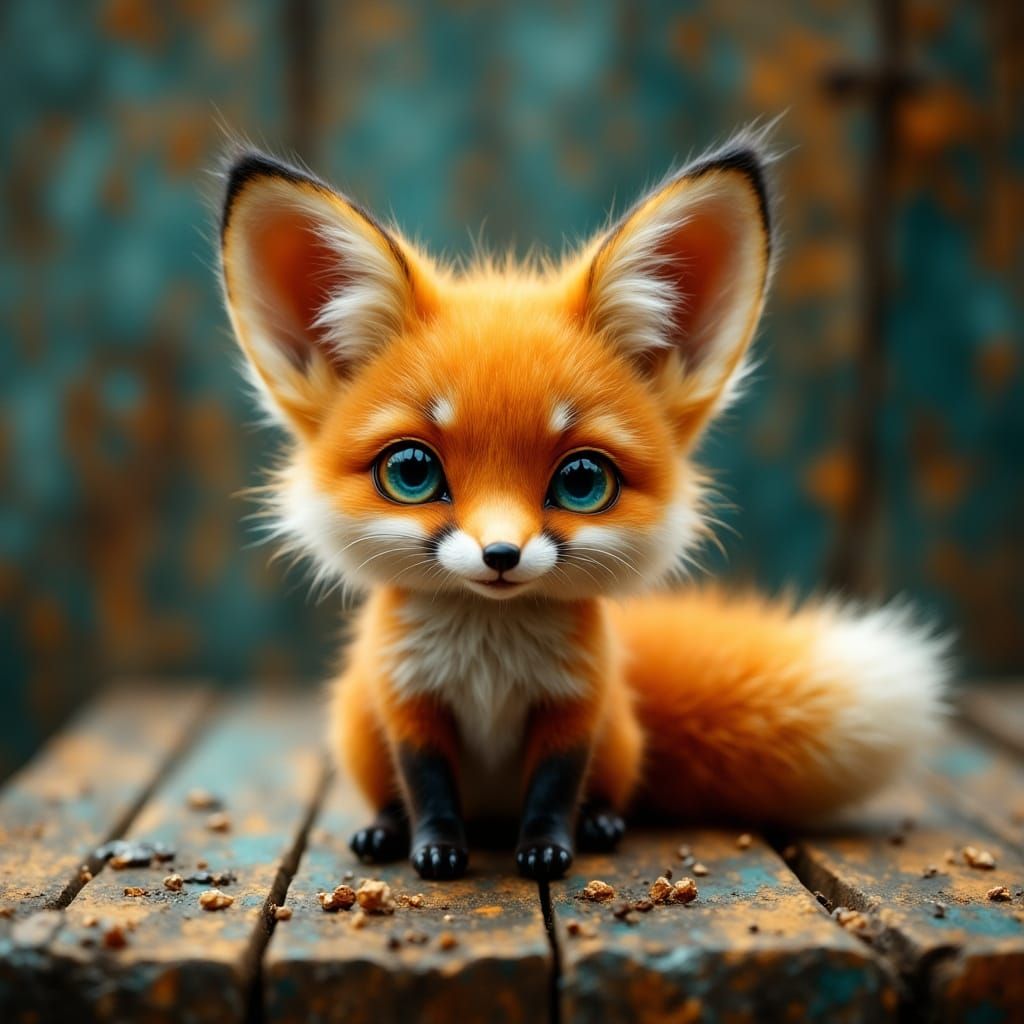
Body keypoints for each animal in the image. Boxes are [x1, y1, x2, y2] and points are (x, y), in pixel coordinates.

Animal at [218, 137, 949, 881]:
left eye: (582, 482)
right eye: (412, 472)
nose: (501, 555)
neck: (490, 660)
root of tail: (492, 816)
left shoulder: (574, 705)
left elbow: (554, 790)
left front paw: (547, 849)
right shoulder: (408, 704)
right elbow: (427, 790)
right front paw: (435, 850)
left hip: (616, 735)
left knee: (605, 790)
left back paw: (600, 822)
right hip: (358, 729)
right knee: (392, 795)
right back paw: (382, 832)